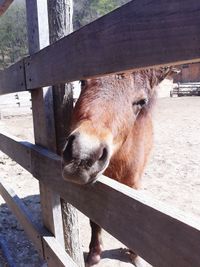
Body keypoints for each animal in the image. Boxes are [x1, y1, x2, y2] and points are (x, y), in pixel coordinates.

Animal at [62, 68, 173, 266]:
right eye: (82, 82)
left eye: (142, 101)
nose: (83, 155)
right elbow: (94, 220)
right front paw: (94, 253)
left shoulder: (133, 185)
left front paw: (135, 255)